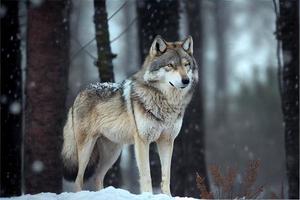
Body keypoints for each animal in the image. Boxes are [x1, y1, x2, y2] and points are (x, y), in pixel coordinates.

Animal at [61, 35, 198, 195]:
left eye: (186, 65)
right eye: (170, 65)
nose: (186, 80)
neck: (166, 102)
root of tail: (79, 95)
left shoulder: (167, 141)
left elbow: (166, 177)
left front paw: (167, 196)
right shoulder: (142, 141)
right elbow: (146, 176)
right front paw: (147, 195)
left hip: (113, 153)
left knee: (97, 177)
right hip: (86, 150)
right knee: (79, 179)